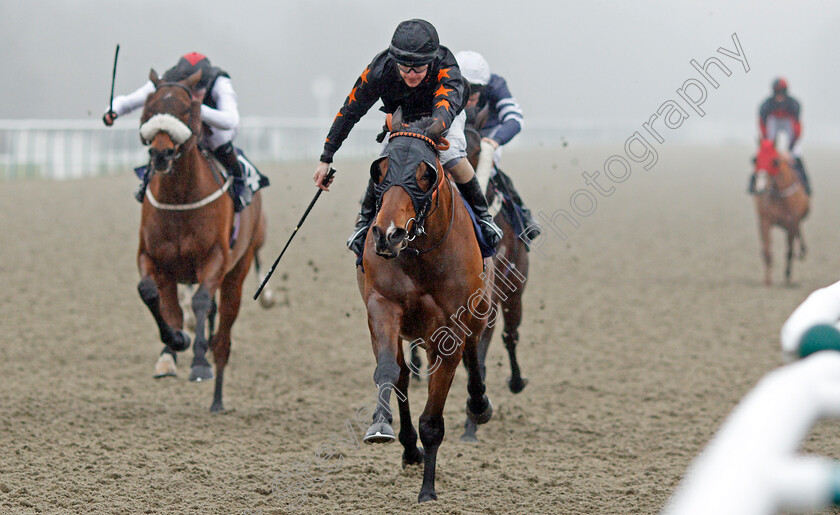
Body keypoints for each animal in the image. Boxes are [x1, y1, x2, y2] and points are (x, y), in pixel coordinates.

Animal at [138, 68, 270, 414]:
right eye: (151, 107)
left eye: (186, 109)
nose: (161, 153)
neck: (180, 198)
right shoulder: (152, 258)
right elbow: (151, 294)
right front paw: (174, 343)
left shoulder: (215, 259)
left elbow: (199, 302)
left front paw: (199, 361)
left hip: (238, 270)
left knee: (223, 335)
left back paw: (217, 397)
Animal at [352, 108, 492, 504]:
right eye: (379, 170)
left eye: (425, 173)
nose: (388, 234)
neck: (420, 256)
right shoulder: (382, 306)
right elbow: (388, 371)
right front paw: (381, 426)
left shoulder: (449, 329)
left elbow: (433, 418)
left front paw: (428, 490)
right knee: (401, 373)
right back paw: (408, 447)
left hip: (477, 311)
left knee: (474, 352)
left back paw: (479, 405)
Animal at [752, 138, 812, 286]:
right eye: (755, 159)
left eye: (774, 161)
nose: (760, 187)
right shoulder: (766, 221)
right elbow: (768, 251)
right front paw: (767, 280)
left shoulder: (792, 222)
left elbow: (789, 251)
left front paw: (788, 277)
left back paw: (802, 251)